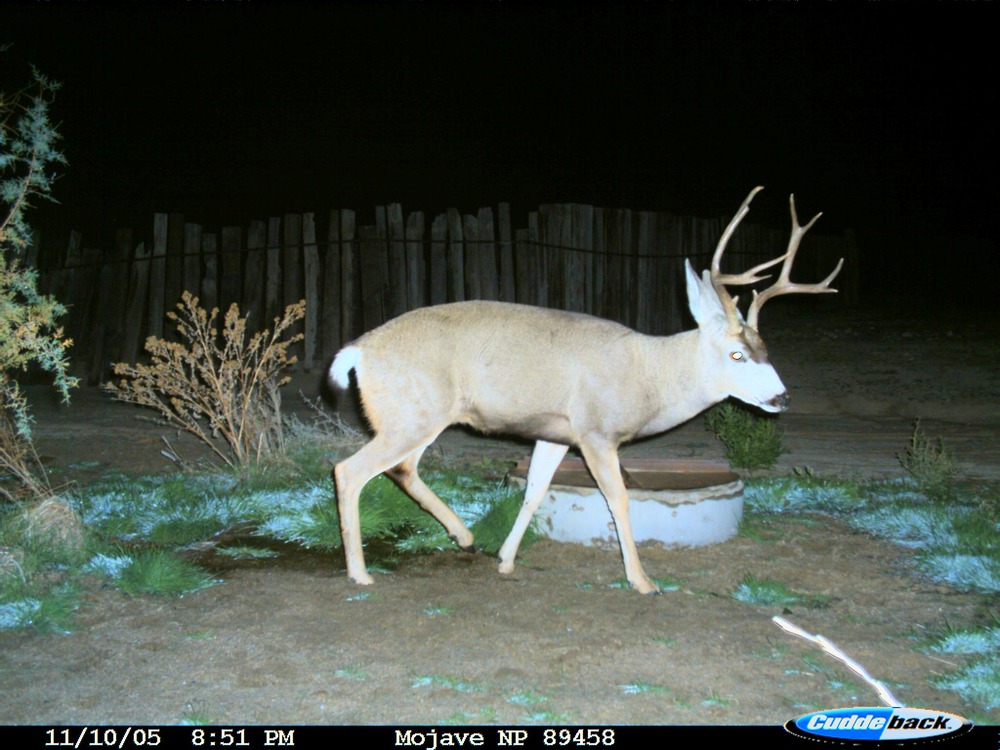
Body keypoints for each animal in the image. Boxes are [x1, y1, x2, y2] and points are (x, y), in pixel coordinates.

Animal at [329, 187, 843, 594]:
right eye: (737, 355)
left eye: (765, 348)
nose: (781, 398)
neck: (649, 373)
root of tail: (357, 351)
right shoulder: (597, 431)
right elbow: (618, 499)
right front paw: (643, 581)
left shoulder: (556, 433)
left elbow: (534, 490)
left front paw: (506, 560)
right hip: (412, 413)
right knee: (350, 471)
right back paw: (360, 573)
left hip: (414, 415)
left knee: (402, 469)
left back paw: (466, 538)